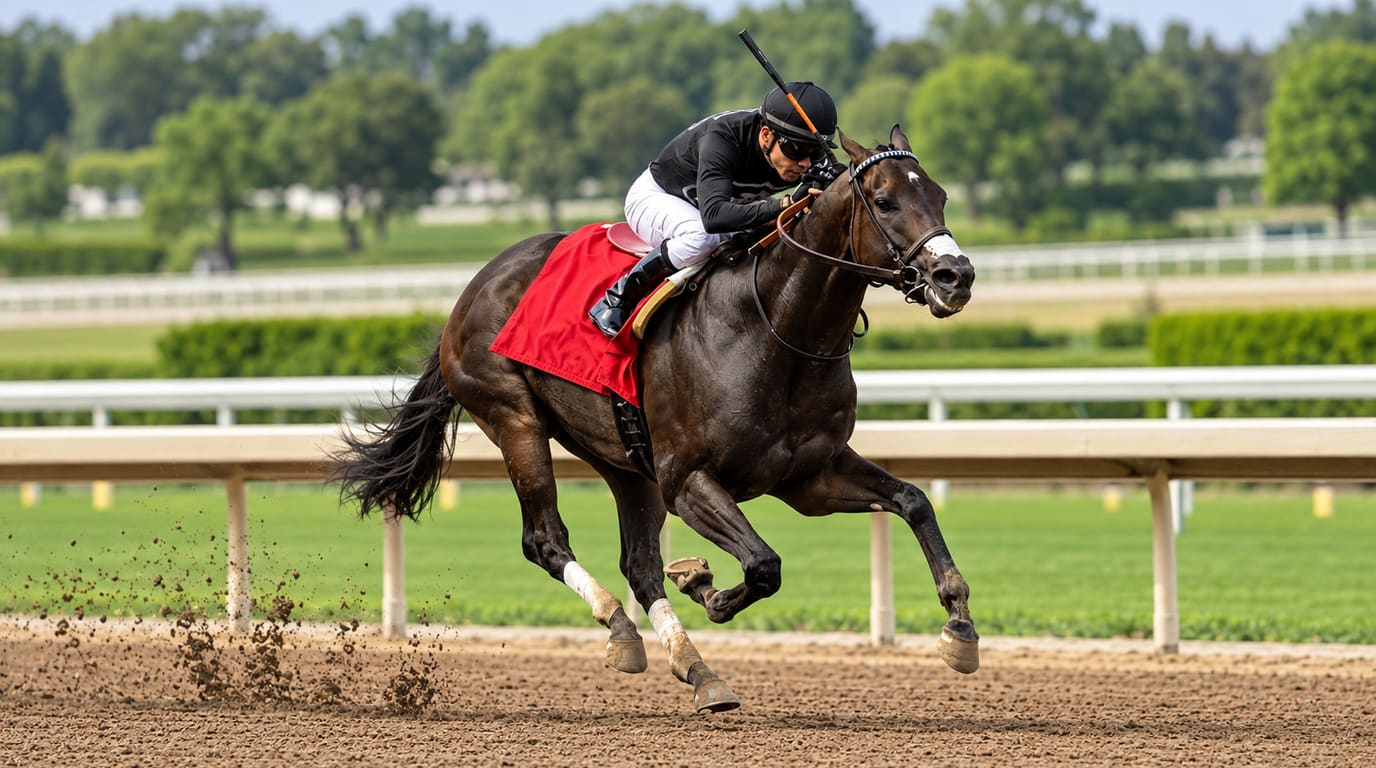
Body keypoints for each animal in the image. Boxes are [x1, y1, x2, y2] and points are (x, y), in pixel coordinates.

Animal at [332, 125, 978, 713]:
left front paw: (960, 627)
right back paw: (620, 623)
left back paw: (697, 670)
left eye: (942, 195)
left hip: (622, 459)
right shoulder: (687, 480)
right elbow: (764, 564)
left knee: (639, 565)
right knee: (545, 539)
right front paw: (706, 587)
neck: (774, 329)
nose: (957, 276)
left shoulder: (809, 478)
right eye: (886, 201)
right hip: (514, 419)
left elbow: (913, 500)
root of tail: (472, 288)